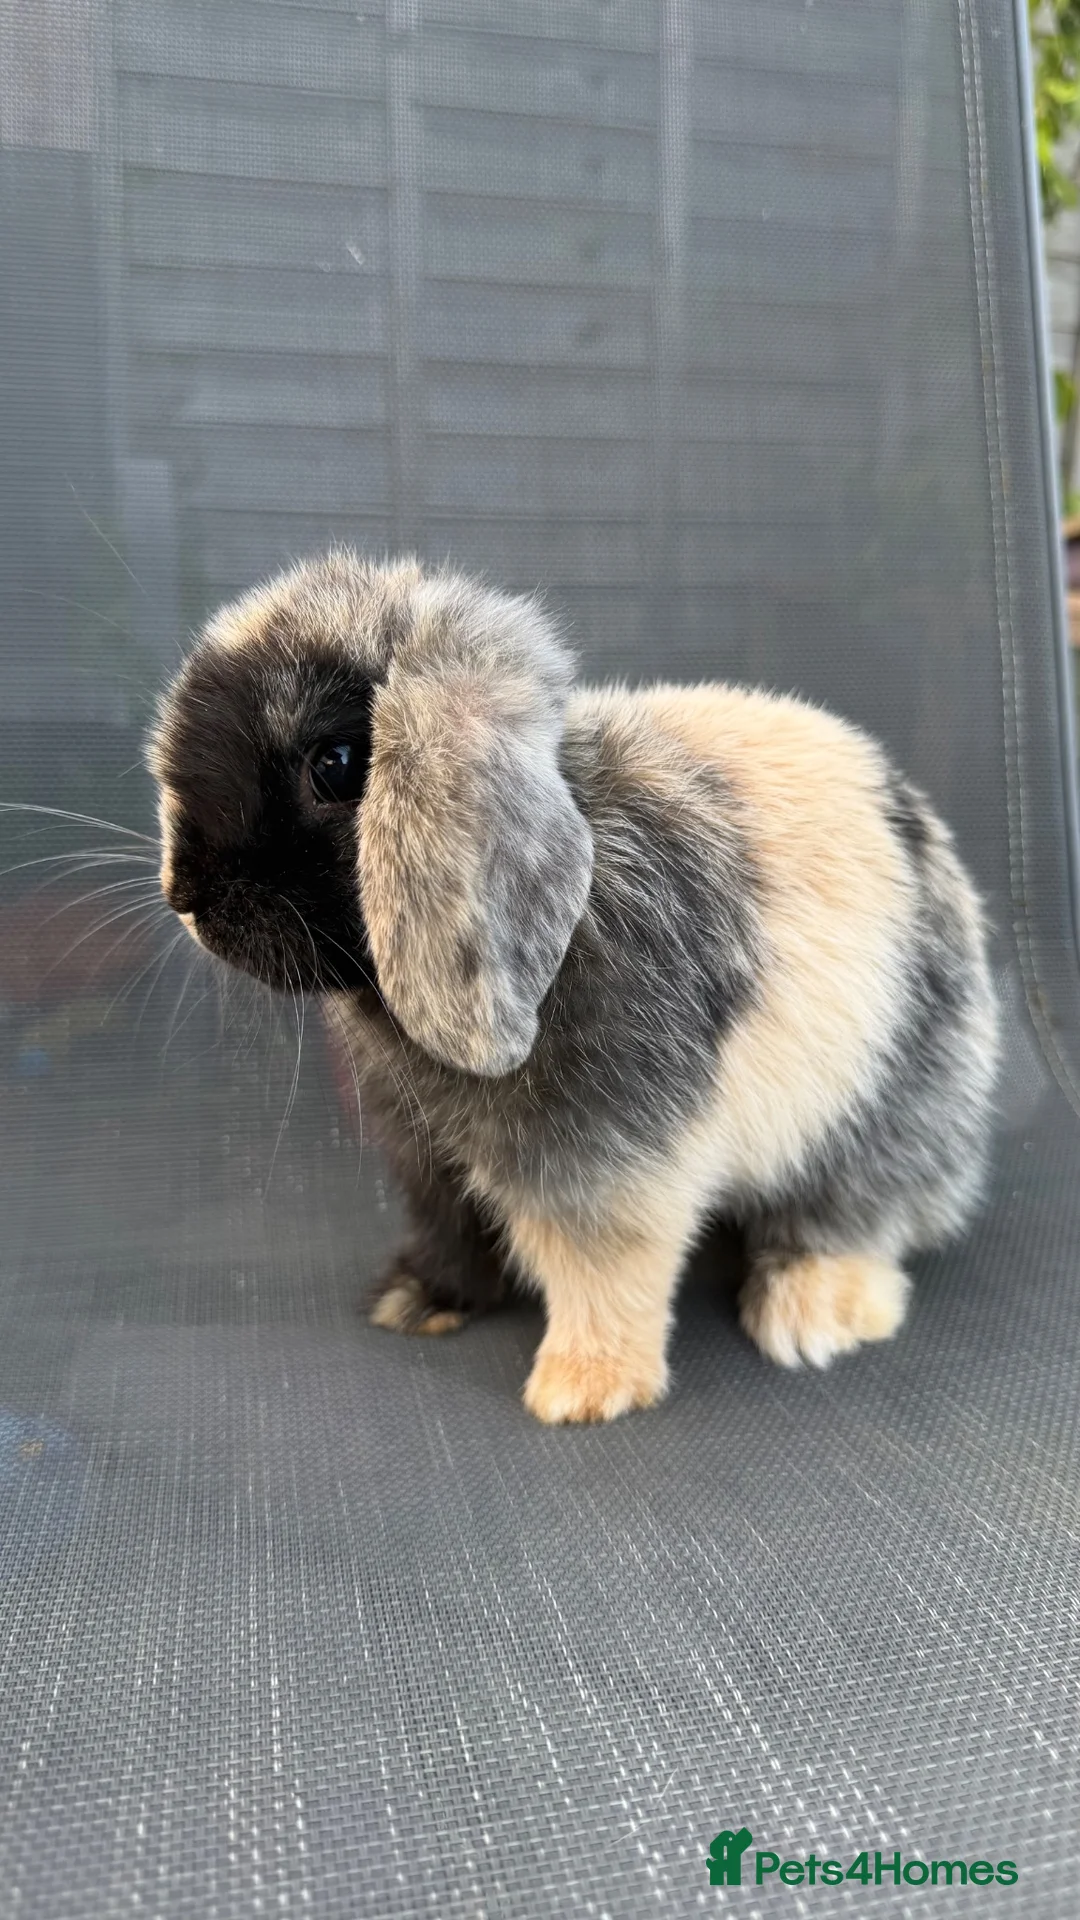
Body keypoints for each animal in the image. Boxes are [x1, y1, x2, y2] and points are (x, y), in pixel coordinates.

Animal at [149, 550, 998, 1423]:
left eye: (338, 764)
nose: (187, 897)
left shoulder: (603, 1163)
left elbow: (606, 1269)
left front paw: (582, 1387)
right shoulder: (426, 1156)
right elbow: (450, 1230)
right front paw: (419, 1302)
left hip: (875, 1108)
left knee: (863, 1212)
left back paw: (811, 1308)